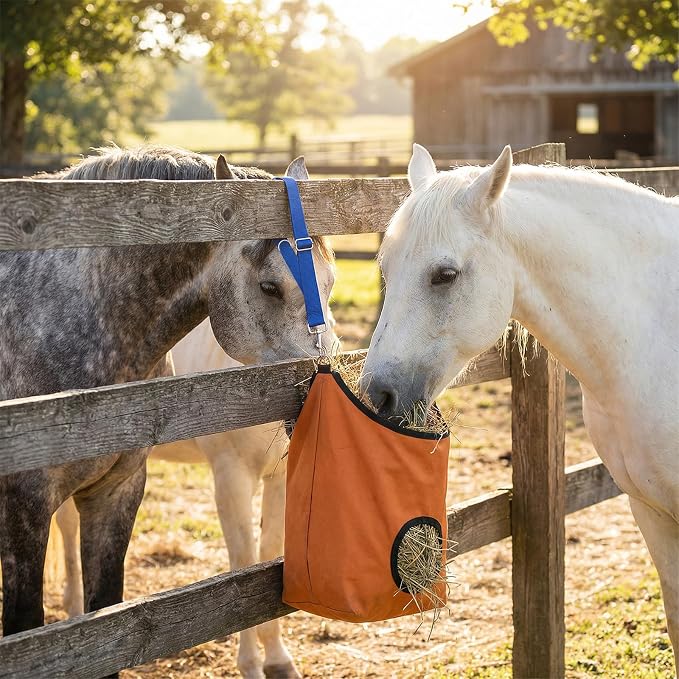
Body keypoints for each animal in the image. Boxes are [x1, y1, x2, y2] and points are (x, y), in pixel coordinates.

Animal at [52, 314, 337, 678]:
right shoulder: (232, 477)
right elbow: (244, 562)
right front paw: (251, 664)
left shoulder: (279, 478)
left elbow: (270, 552)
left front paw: (277, 659)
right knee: (66, 526)